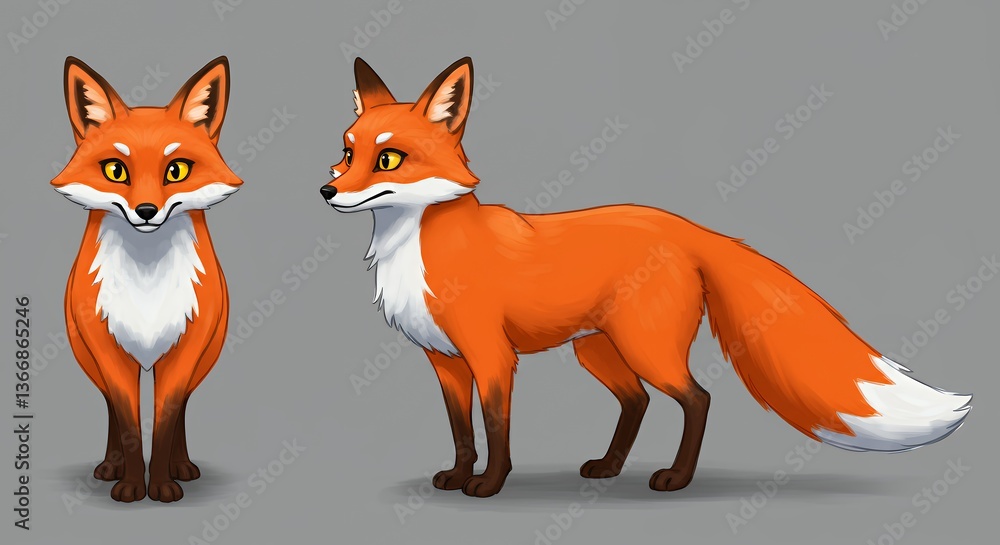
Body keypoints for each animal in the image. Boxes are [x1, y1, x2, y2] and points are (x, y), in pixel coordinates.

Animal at [51, 57, 242, 502]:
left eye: (177, 170)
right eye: (115, 170)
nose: (147, 211)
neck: (147, 284)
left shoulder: (186, 348)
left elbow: (168, 418)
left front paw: (163, 485)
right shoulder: (108, 349)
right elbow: (128, 423)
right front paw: (131, 485)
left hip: (205, 357)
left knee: (184, 407)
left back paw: (181, 465)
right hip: (88, 357)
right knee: (108, 408)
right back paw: (111, 466)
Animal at [321, 57, 972, 498]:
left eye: (388, 159)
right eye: (347, 152)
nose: (326, 190)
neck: (416, 246)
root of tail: (682, 225)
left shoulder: (491, 357)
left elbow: (497, 428)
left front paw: (490, 484)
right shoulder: (446, 362)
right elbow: (462, 431)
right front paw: (459, 476)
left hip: (645, 347)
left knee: (697, 399)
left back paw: (677, 478)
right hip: (599, 350)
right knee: (637, 401)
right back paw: (609, 468)